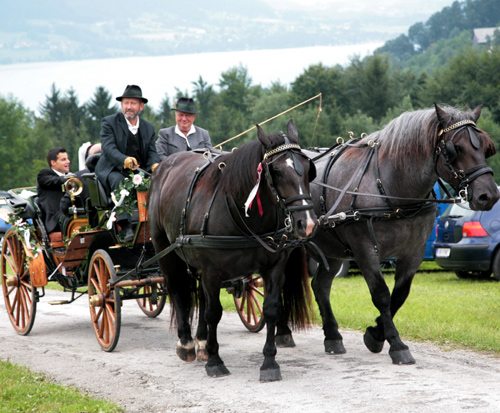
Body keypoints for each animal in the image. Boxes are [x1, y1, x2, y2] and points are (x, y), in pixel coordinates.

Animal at [148, 119, 318, 380]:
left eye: (308, 169)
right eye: (277, 171)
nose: (306, 223)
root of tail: (163, 167)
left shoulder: (274, 266)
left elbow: (270, 309)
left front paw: (269, 363)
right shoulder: (211, 270)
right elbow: (213, 312)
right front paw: (215, 362)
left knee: (199, 295)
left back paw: (201, 342)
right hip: (166, 252)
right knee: (178, 290)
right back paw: (186, 343)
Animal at [278, 103, 500, 364]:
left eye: (485, 147)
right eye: (457, 149)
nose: (489, 195)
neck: (392, 187)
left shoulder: (413, 252)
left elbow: (400, 294)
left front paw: (375, 333)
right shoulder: (364, 250)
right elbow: (381, 294)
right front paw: (396, 344)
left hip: (331, 251)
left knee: (321, 285)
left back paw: (332, 337)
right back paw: (282, 332)